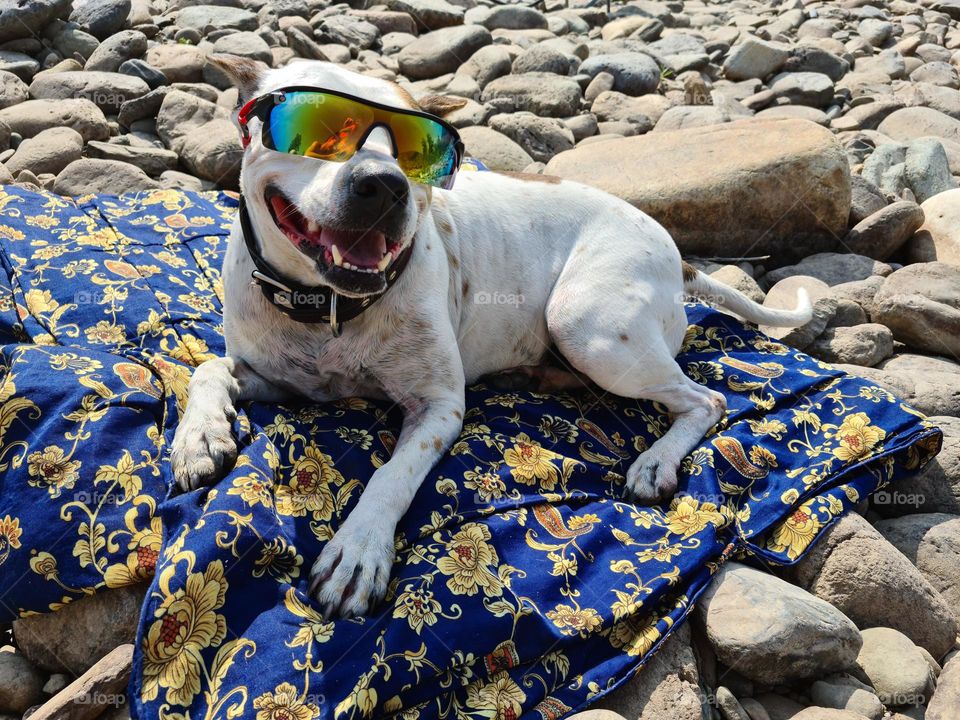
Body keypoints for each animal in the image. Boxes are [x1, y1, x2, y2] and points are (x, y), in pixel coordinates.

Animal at [171, 56, 808, 620]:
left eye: (416, 151)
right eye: (321, 127)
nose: (384, 184)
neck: (328, 307)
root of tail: (679, 255)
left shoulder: (438, 408)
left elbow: (389, 476)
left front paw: (357, 552)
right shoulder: (271, 375)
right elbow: (207, 367)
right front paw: (198, 437)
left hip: (588, 326)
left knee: (707, 398)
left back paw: (655, 460)